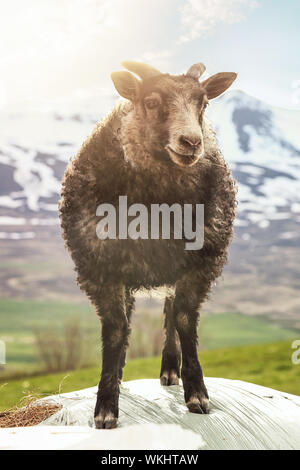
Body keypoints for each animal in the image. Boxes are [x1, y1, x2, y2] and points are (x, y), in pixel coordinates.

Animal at [58, 60, 237, 428]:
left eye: (203, 104)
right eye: (151, 102)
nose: (191, 142)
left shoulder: (199, 265)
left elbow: (184, 320)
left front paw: (197, 394)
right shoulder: (100, 270)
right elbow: (115, 330)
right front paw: (106, 406)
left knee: (170, 313)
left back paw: (170, 369)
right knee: (131, 319)